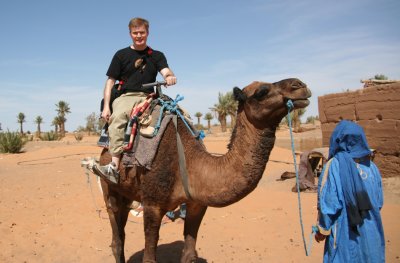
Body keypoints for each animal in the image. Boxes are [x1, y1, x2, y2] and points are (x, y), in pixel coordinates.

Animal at [97, 79, 312, 263]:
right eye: (261, 92)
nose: (300, 85)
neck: (189, 160)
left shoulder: (197, 204)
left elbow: (189, 254)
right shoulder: (152, 204)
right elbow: (149, 258)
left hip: (127, 194)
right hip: (110, 188)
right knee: (116, 237)